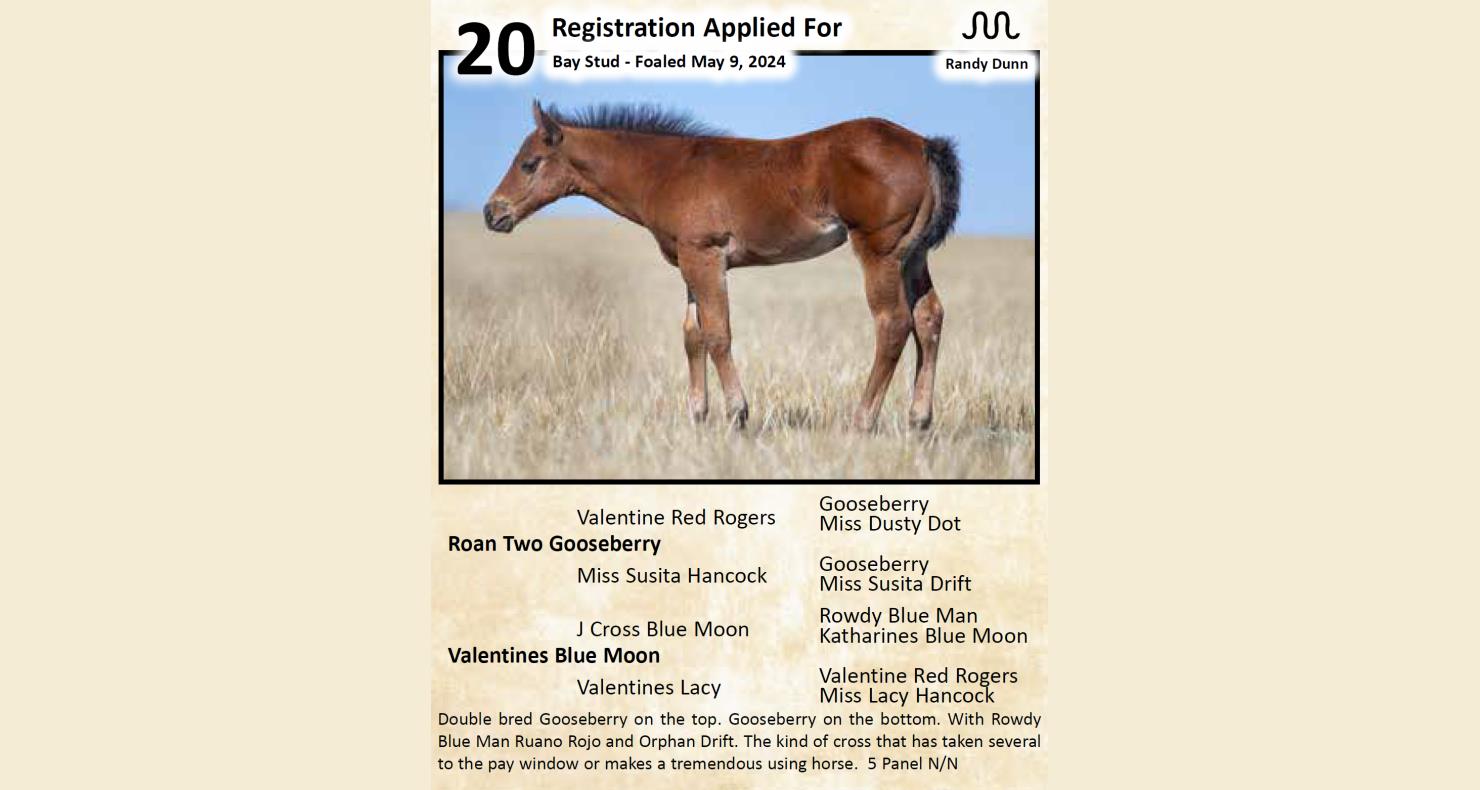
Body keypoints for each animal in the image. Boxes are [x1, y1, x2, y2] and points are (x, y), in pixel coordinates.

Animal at [484, 101, 960, 431]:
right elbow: (692, 335)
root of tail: (923, 144)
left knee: (893, 323)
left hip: (879, 249)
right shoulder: (689, 260)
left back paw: (862, 420)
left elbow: (717, 334)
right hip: (912, 254)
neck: (666, 170)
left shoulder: (705, 255)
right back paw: (919, 419)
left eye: (529, 164)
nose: (493, 213)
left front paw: (737, 413)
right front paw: (698, 414)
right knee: (929, 317)